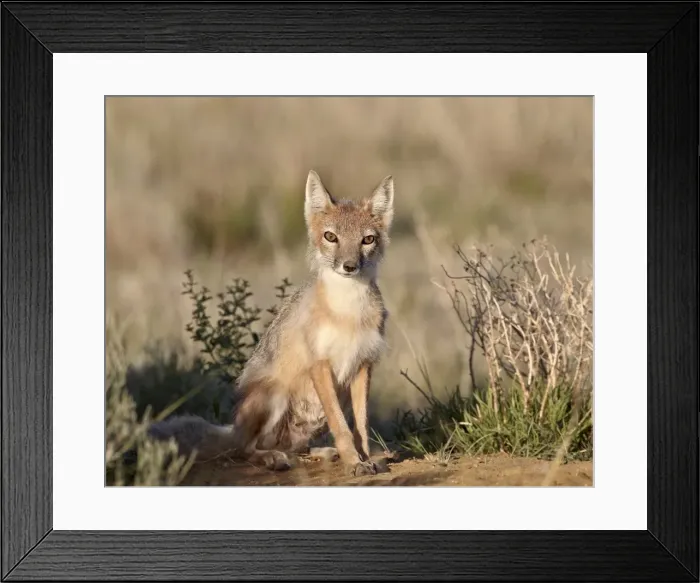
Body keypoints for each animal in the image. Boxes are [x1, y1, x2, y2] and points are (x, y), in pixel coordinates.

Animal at [148, 170, 395, 477]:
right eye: (331, 237)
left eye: (367, 240)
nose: (349, 266)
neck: (348, 312)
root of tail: (234, 429)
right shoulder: (320, 364)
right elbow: (342, 426)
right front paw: (354, 461)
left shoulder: (363, 365)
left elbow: (361, 425)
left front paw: (365, 457)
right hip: (273, 396)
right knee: (245, 450)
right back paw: (274, 458)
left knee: (296, 448)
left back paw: (321, 453)